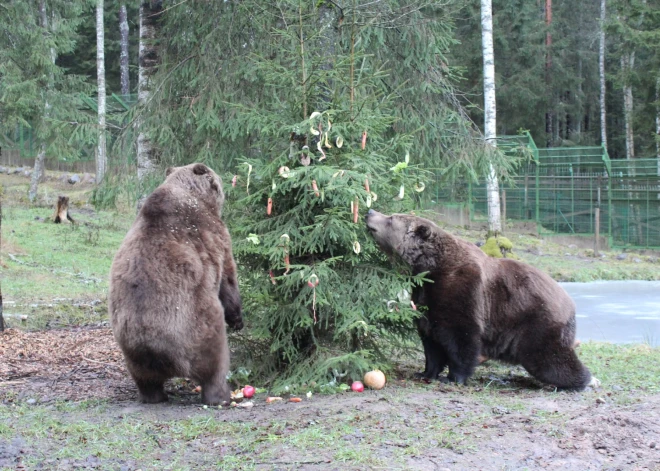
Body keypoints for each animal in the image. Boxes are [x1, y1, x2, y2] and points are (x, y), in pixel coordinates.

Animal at [109, 163, 244, 406]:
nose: (227, 183)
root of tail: (156, 351)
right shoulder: (215, 234)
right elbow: (228, 278)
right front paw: (237, 318)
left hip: (131, 349)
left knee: (145, 379)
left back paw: (154, 396)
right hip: (196, 329)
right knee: (215, 363)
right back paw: (221, 396)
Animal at [364, 210, 600, 390]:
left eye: (391, 218)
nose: (369, 212)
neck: (429, 270)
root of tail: (570, 302)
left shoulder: (462, 289)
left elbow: (461, 337)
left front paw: (454, 377)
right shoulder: (426, 299)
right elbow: (430, 340)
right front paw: (425, 372)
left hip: (537, 322)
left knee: (552, 360)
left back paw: (587, 380)